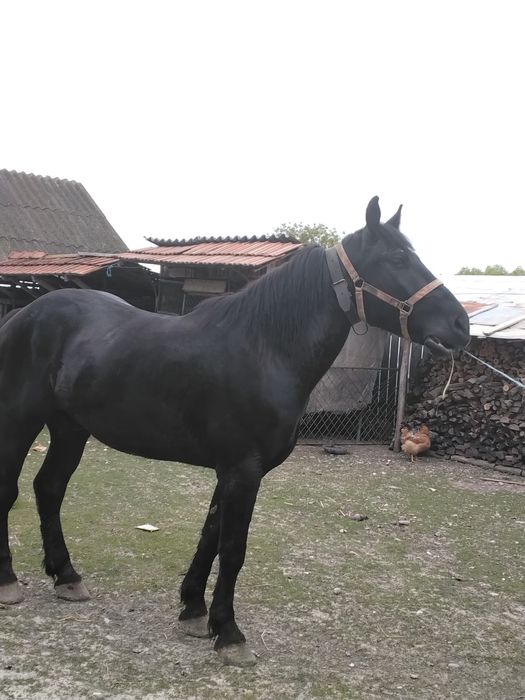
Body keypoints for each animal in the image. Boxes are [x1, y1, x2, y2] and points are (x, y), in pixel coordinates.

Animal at [0, 197, 470, 666]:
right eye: (398, 258)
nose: (460, 324)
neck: (263, 349)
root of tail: (24, 313)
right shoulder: (243, 471)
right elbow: (233, 549)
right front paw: (229, 633)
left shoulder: (229, 470)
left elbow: (210, 537)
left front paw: (193, 611)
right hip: (20, 422)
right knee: (12, 491)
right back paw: (9, 582)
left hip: (70, 428)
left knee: (50, 488)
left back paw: (66, 576)